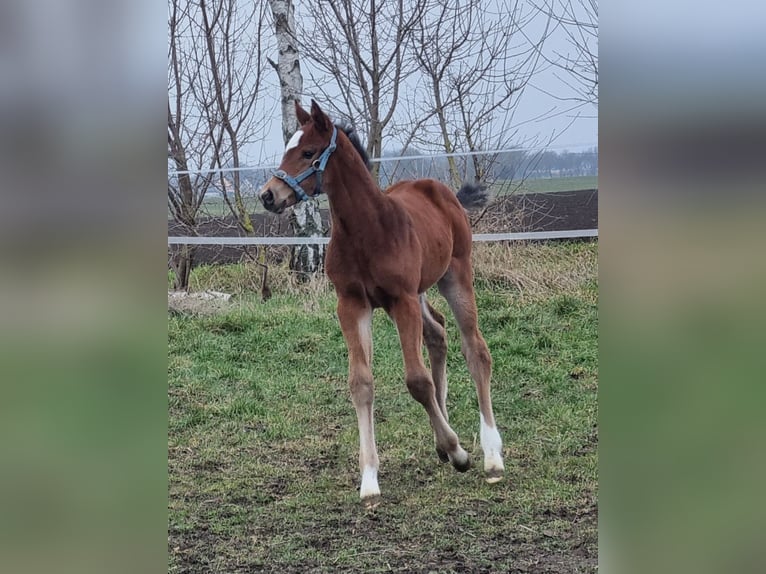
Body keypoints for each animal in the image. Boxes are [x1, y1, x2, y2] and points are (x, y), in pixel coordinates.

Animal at [260, 101, 508, 506]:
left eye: (308, 152)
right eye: (287, 148)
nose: (268, 195)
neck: (367, 230)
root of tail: (441, 191)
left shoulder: (400, 300)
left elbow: (417, 381)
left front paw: (459, 452)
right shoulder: (351, 305)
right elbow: (361, 383)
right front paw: (369, 479)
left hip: (455, 274)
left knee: (475, 350)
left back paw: (491, 454)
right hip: (421, 290)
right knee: (438, 333)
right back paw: (444, 441)